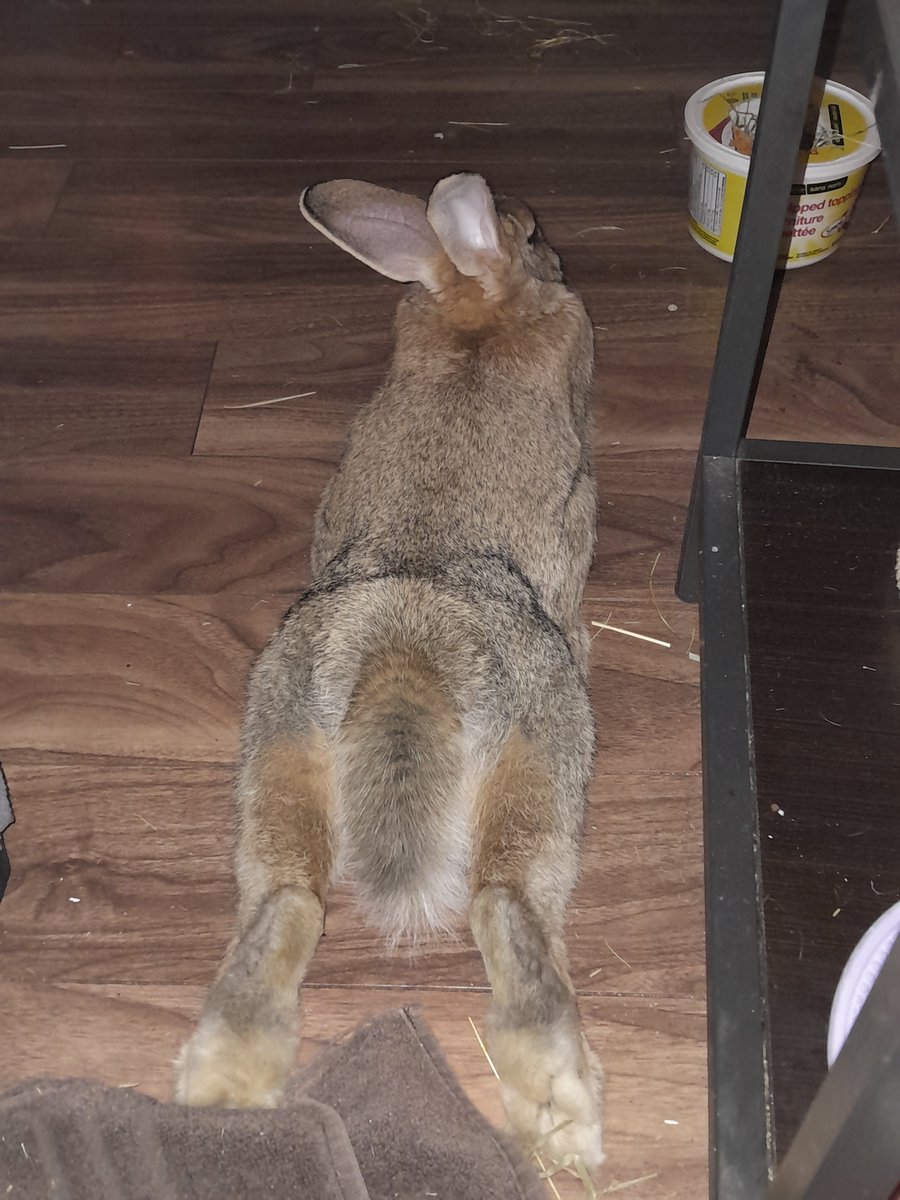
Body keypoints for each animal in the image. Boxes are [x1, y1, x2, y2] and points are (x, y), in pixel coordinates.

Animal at [174, 172, 603, 1171]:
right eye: (532, 232)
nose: (558, 255)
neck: (475, 315)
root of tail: (407, 643)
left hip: (281, 739)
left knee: (287, 898)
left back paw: (224, 1087)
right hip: (543, 754)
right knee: (506, 903)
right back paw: (562, 1115)